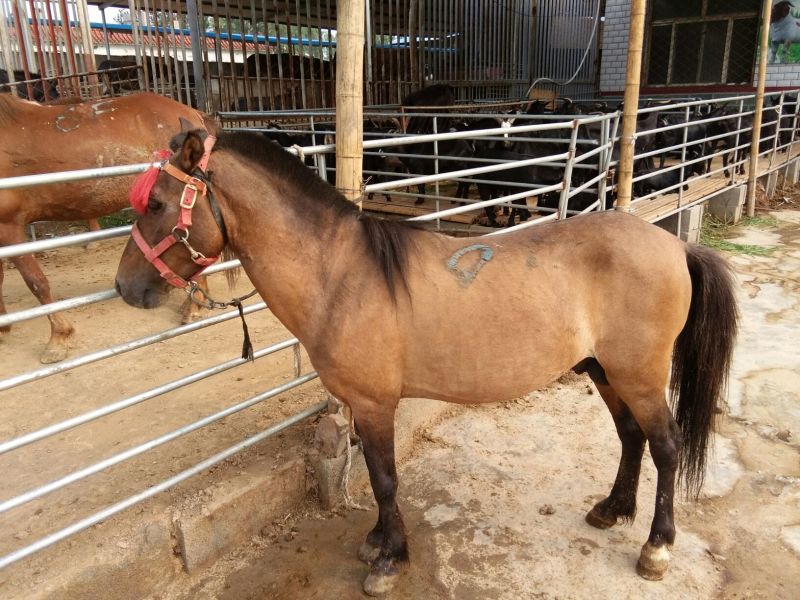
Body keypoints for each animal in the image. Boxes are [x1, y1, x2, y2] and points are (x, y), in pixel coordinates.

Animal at [0, 92, 211, 363]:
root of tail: (191, 111)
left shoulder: (10, 225)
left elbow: (36, 281)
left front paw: (58, 338)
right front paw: (4, 327)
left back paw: (192, 309)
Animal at [114, 122, 738, 597]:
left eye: (158, 203)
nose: (126, 287)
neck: (340, 273)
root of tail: (675, 245)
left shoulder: (375, 404)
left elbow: (386, 479)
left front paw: (390, 559)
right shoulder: (361, 406)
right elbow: (372, 476)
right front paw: (376, 541)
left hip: (640, 373)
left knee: (665, 446)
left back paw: (656, 547)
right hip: (606, 371)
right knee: (632, 437)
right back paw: (612, 509)